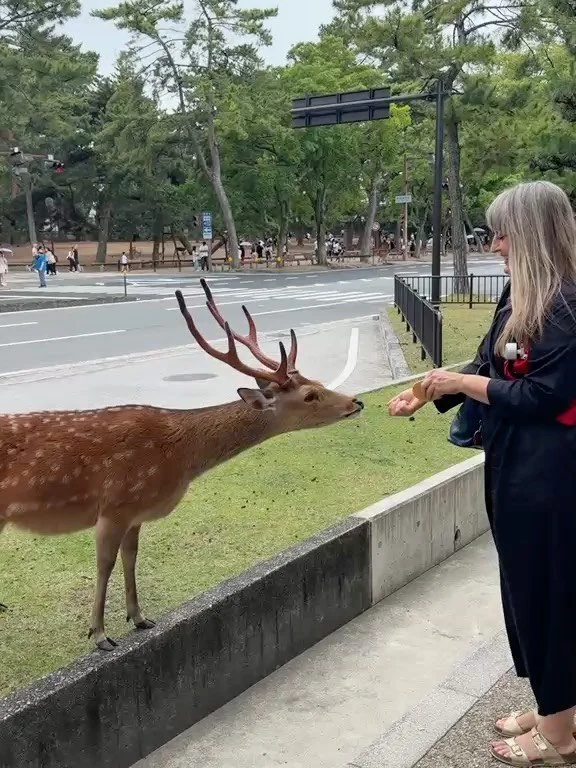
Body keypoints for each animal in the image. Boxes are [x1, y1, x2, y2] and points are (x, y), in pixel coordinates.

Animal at [0, 279, 364, 651]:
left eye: (318, 382)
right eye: (310, 396)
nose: (356, 401)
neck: (179, 458)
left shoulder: (136, 513)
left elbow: (131, 557)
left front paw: (139, 618)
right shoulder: (114, 504)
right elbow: (105, 564)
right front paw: (100, 634)